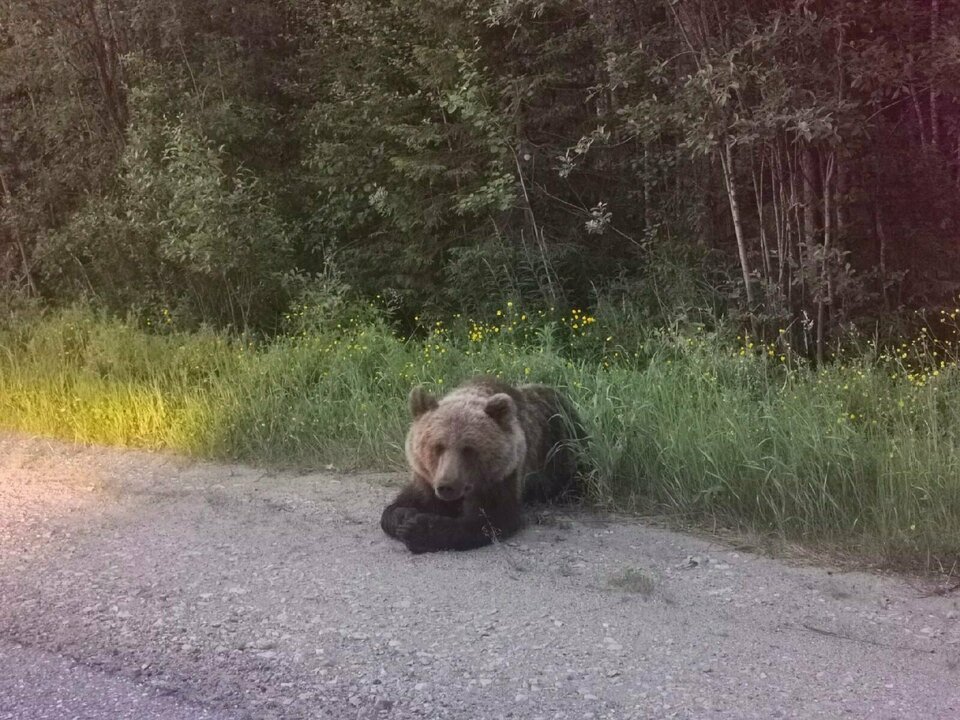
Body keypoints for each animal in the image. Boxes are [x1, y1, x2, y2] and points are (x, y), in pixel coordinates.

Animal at [378, 374, 580, 556]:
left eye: (468, 449)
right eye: (438, 446)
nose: (447, 486)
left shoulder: (503, 476)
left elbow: (490, 520)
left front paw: (419, 529)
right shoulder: (426, 479)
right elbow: (397, 507)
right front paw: (405, 516)